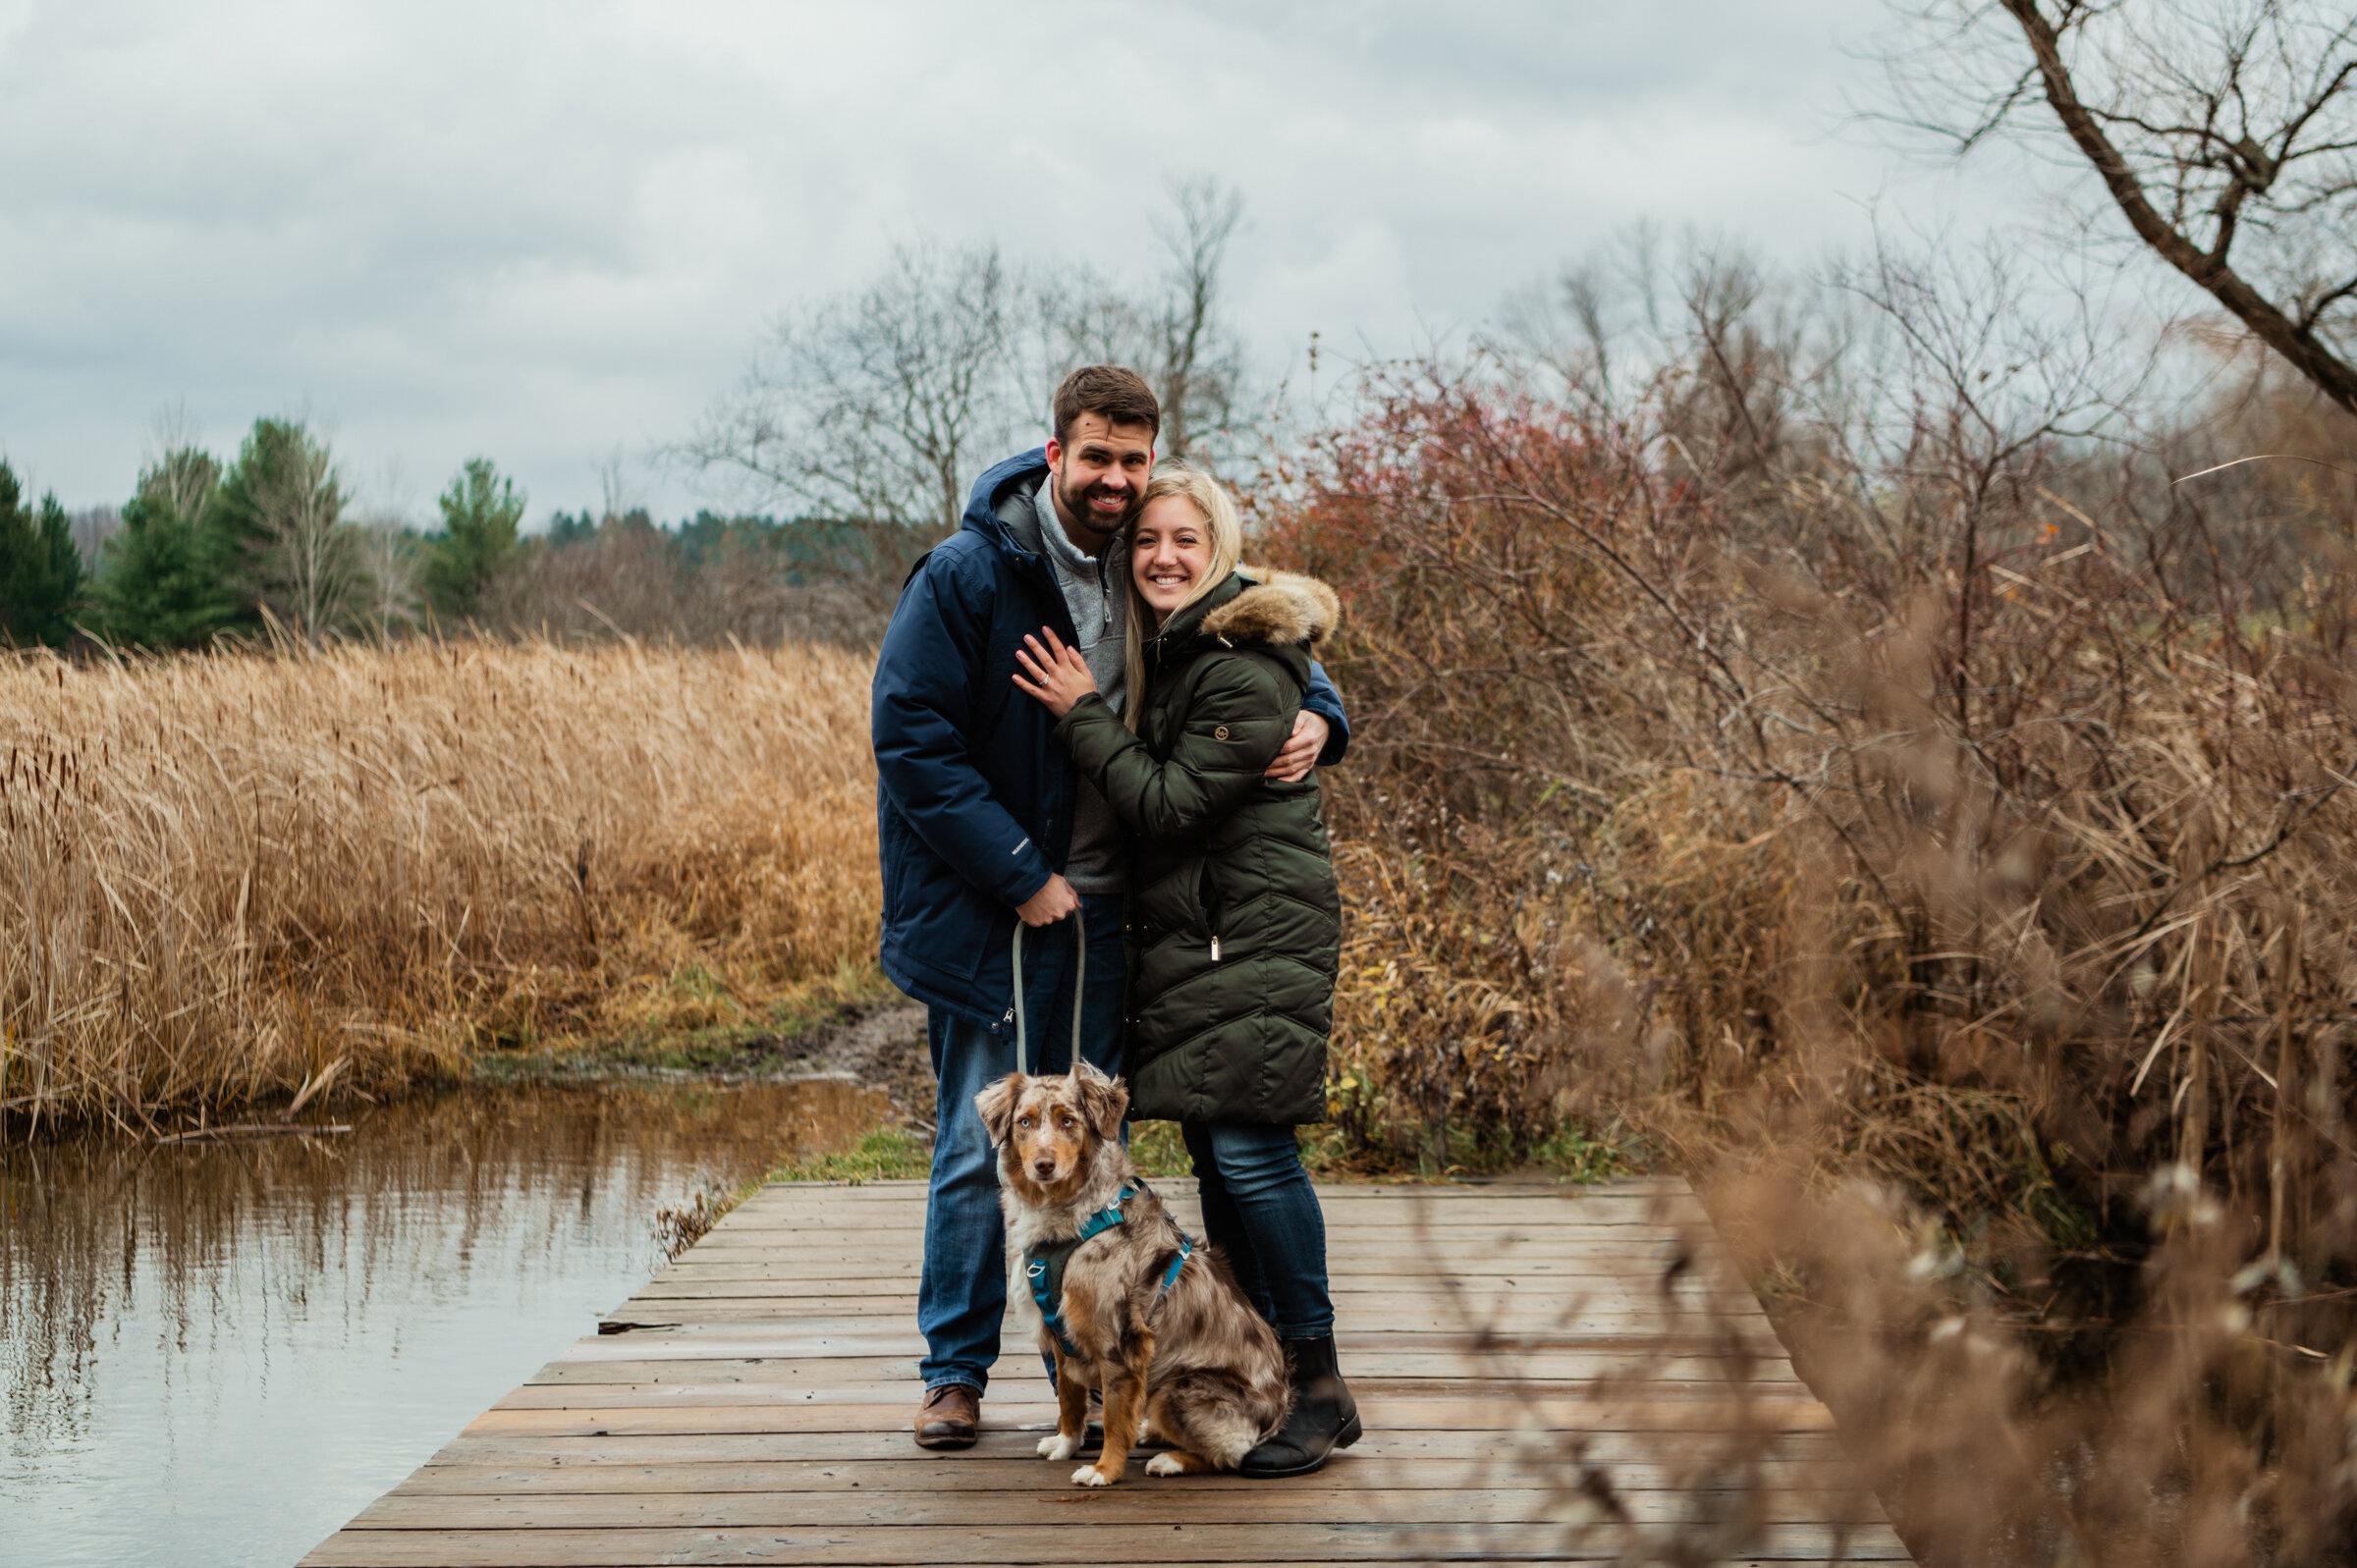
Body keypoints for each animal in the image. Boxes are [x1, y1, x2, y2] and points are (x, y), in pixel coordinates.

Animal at [970, 1055, 1291, 1489]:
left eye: (1068, 1121)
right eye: (1024, 1121)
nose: (1043, 1165)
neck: (1074, 1218)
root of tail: (1277, 1413)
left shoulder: (1120, 1343)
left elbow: (1111, 1417)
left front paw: (1104, 1470)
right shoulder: (1062, 1334)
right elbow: (1070, 1400)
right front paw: (1066, 1444)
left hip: (1177, 1389)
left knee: (1229, 1455)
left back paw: (1170, 1459)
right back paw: (1151, 1432)